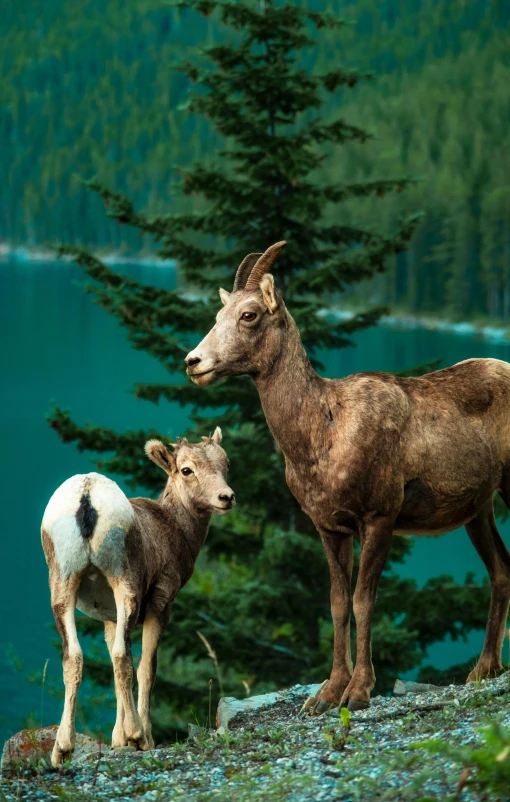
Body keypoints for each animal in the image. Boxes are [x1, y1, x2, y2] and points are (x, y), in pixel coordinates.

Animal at [41, 424, 233, 764]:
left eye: (227, 463)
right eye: (187, 469)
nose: (226, 498)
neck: (175, 529)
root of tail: (87, 496)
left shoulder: (108, 617)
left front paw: (118, 740)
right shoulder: (161, 601)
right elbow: (146, 667)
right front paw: (138, 737)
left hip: (62, 583)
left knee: (73, 657)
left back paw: (62, 749)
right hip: (125, 584)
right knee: (123, 656)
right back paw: (138, 735)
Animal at [185, 239, 510, 712]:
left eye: (249, 315)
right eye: (217, 315)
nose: (194, 362)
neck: (322, 435)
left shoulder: (379, 517)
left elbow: (363, 600)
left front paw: (357, 692)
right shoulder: (330, 527)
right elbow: (338, 604)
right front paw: (325, 695)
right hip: (479, 510)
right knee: (501, 571)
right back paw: (483, 669)